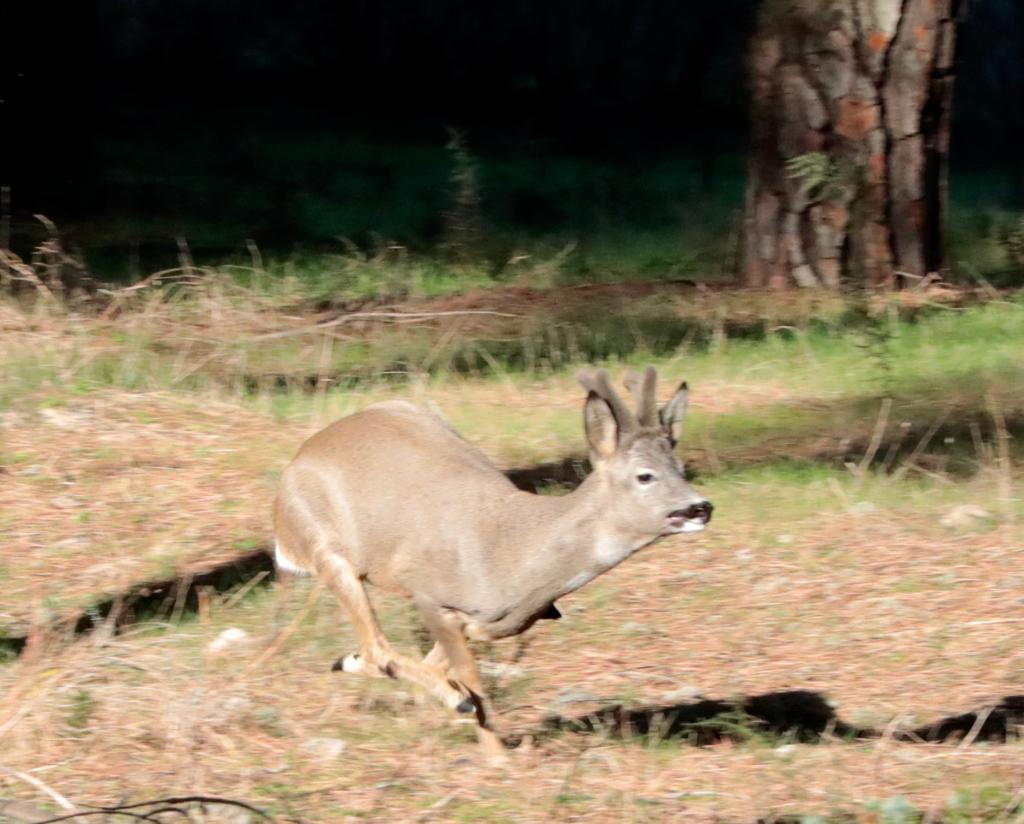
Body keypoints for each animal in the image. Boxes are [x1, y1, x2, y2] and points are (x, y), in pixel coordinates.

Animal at [276, 370, 716, 757]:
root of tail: (300, 456)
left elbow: (449, 667)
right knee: (375, 644)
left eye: (680, 468)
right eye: (645, 476)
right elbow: (469, 676)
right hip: (323, 547)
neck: (511, 557)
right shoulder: (429, 596)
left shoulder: (479, 621)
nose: (701, 507)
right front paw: (495, 756)